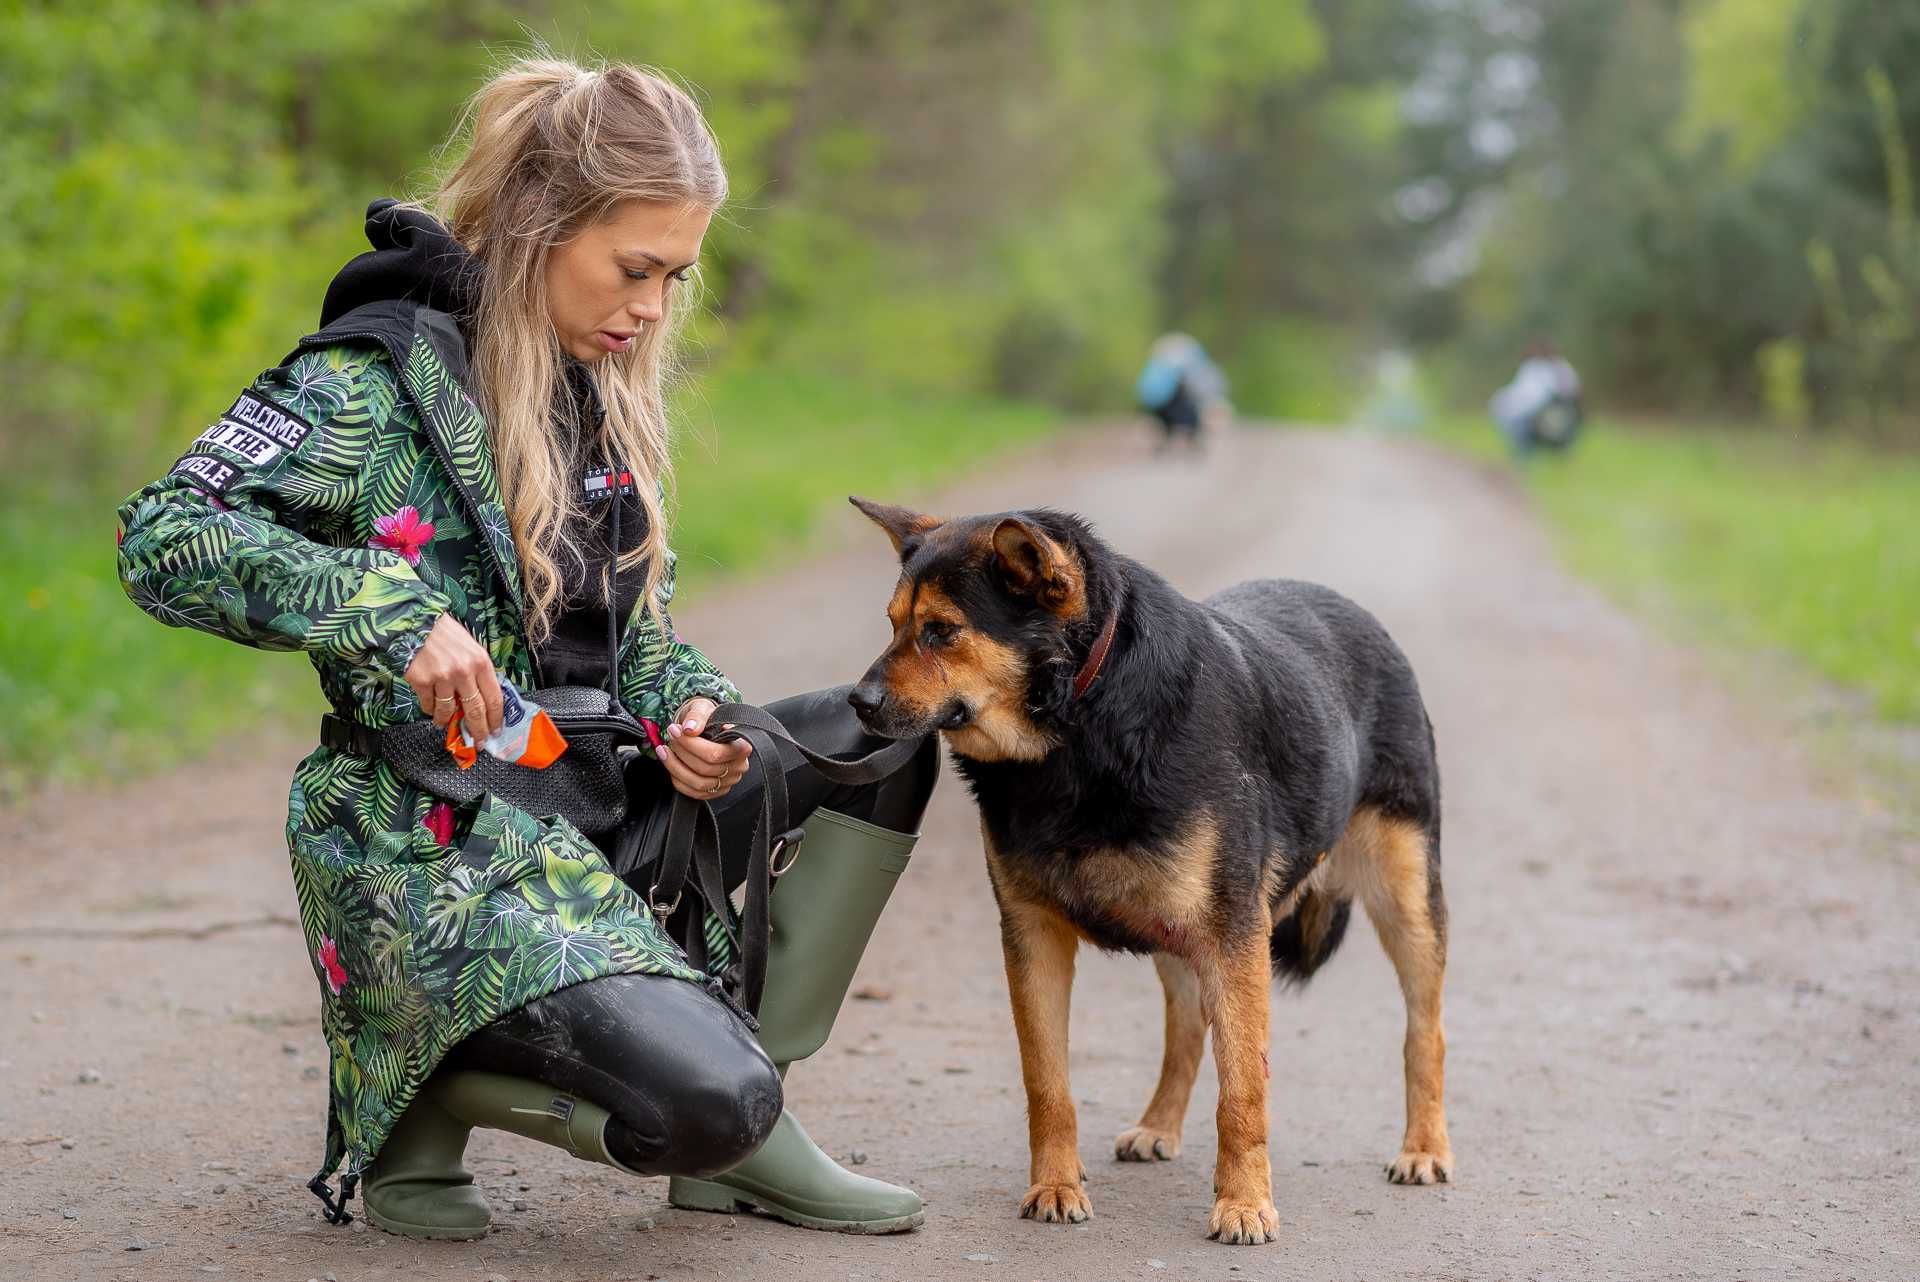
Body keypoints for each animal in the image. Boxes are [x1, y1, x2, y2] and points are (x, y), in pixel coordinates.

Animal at [848, 498, 1443, 1243]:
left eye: (942, 631)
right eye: (893, 625)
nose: (856, 702)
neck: (1085, 714)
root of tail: (1360, 615)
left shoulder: (1234, 934)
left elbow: (1243, 1088)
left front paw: (1244, 1204)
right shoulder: (1033, 936)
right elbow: (1048, 1082)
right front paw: (1056, 1185)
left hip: (1404, 901)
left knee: (1424, 1031)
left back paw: (1424, 1149)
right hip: (1178, 930)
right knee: (1186, 1028)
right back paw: (1159, 1126)